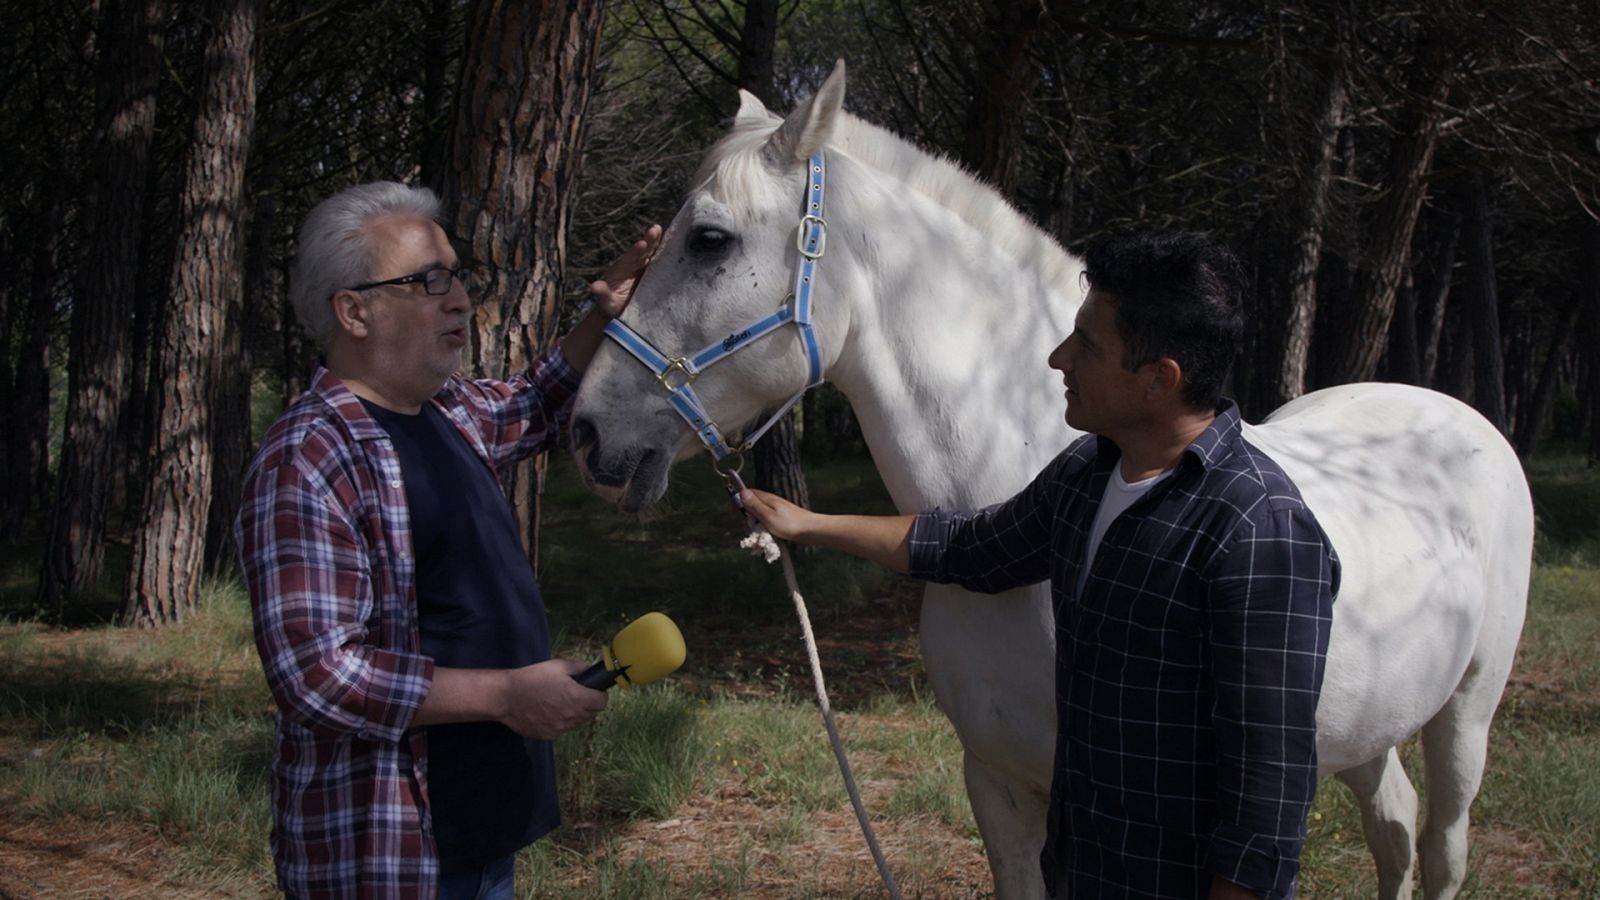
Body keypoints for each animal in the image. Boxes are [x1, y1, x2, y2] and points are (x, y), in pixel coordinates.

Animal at [572, 63, 1536, 896]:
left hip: (1466, 716)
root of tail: (1454, 413)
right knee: (1394, 829)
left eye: (709, 240)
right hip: (1363, 728)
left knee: (1440, 845)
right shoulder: (998, 785)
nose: (587, 433)